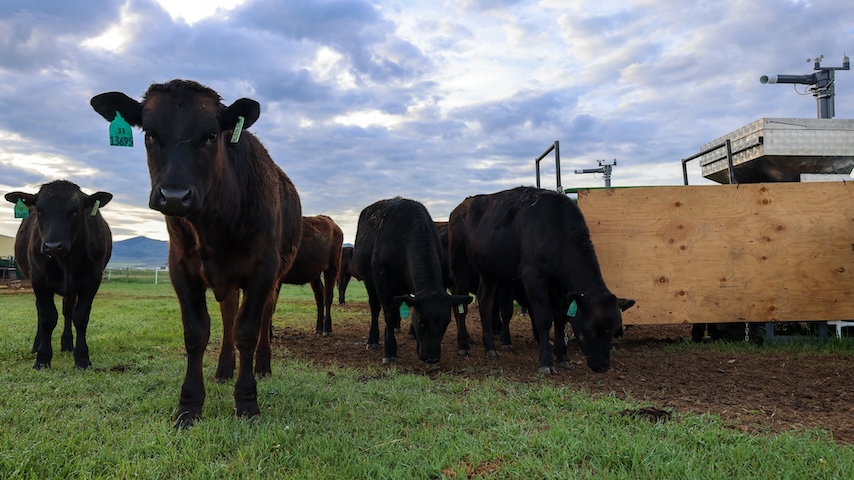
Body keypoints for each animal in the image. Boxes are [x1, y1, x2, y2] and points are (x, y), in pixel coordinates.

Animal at [4, 182, 113, 370]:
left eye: (75, 210)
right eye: (40, 210)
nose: (53, 246)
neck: (66, 260)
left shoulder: (92, 279)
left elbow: (80, 316)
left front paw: (82, 357)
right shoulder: (39, 278)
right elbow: (48, 317)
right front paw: (42, 358)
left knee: (68, 310)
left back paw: (67, 343)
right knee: (40, 310)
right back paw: (36, 345)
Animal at [90, 79, 302, 428]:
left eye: (212, 135)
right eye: (149, 134)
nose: (175, 195)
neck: (214, 226)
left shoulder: (263, 270)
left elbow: (248, 330)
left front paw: (247, 402)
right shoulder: (181, 270)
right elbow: (196, 333)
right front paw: (189, 406)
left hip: (276, 275)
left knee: (263, 316)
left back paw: (262, 366)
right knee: (229, 314)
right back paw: (224, 368)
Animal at [356, 197, 474, 366]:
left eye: (446, 323)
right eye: (421, 321)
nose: (432, 358)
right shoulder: (382, 279)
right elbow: (389, 314)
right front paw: (389, 351)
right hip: (369, 282)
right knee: (375, 308)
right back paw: (373, 339)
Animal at [448, 186, 636, 374]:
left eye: (615, 330)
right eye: (591, 327)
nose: (602, 365)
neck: (555, 232)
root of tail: (461, 207)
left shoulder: (560, 288)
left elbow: (561, 318)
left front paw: (563, 357)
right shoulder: (533, 278)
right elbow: (544, 318)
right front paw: (546, 361)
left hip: (489, 272)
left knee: (485, 302)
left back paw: (490, 347)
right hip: (459, 264)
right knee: (462, 303)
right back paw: (463, 344)